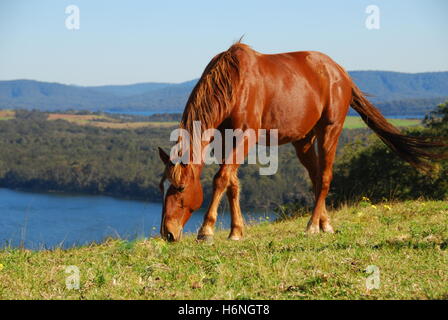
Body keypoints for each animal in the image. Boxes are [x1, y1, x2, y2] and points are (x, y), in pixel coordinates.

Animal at [157, 42, 440, 242]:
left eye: (180, 188)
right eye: (162, 188)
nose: (168, 233)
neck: (234, 83)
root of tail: (340, 72)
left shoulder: (246, 136)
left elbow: (221, 179)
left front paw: (206, 230)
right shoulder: (228, 138)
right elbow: (232, 183)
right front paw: (236, 231)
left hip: (330, 130)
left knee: (324, 177)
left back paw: (312, 226)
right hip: (303, 140)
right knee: (315, 177)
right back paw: (325, 224)